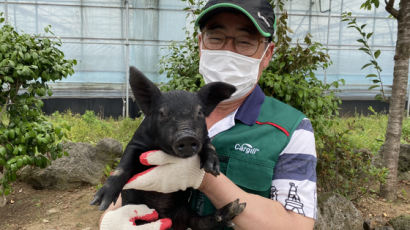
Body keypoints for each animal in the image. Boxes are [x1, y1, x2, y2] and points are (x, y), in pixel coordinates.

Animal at [92, 65, 247, 229]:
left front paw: (213, 170)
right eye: (162, 113)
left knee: (200, 222)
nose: (186, 136)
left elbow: (209, 145)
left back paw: (235, 207)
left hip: (185, 210)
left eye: (199, 112)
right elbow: (124, 164)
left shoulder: (204, 137)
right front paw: (100, 202)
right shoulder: (136, 142)